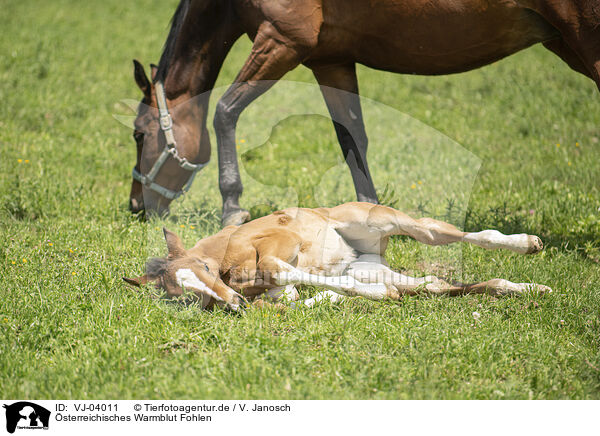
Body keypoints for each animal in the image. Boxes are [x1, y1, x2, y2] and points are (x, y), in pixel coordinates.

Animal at [124, 202, 552, 310]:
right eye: (183, 295)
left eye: (204, 269)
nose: (232, 304)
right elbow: (291, 294)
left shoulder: (279, 240)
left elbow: (279, 270)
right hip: (378, 268)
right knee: (436, 285)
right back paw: (529, 289)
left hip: (383, 220)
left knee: (441, 232)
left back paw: (528, 243)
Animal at [130, 0, 600, 225]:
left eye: (138, 134)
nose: (135, 206)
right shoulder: (330, 60)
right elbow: (352, 137)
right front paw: (369, 214)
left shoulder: (283, 41)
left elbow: (225, 112)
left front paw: (232, 207)